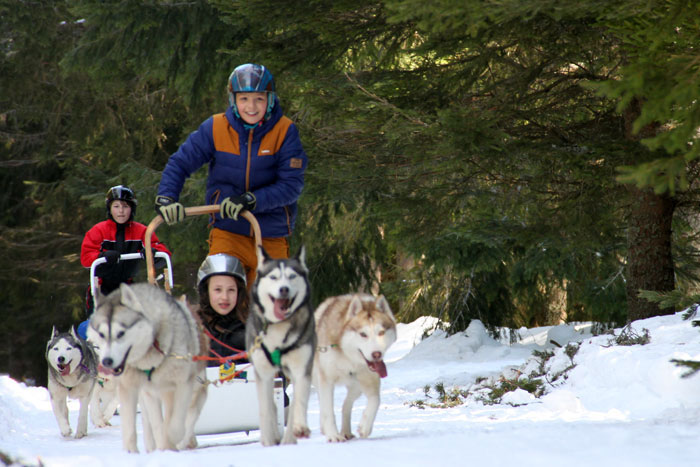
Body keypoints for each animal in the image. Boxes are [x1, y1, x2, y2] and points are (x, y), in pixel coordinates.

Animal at [87, 284, 208, 452]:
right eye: (101, 334)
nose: (107, 361)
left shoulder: (192, 390)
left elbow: (184, 421)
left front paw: (179, 441)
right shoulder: (152, 393)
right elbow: (159, 424)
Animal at [245, 245, 314, 446]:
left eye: (292, 276)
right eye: (274, 277)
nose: (284, 289)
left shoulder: (300, 369)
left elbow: (298, 403)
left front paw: (295, 434)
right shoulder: (263, 373)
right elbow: (266, 409)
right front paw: (268, 440)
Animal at [314, 294, 396, 444]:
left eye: (381, 332)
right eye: (363, 334)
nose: (377, 354)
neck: (348, 357)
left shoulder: (370, 379)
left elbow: (376, 400)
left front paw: (365, 426)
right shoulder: (326, 380)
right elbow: (328, 410)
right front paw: (333, 435)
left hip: (356, 386)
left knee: (346, 404)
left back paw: (346, 431)